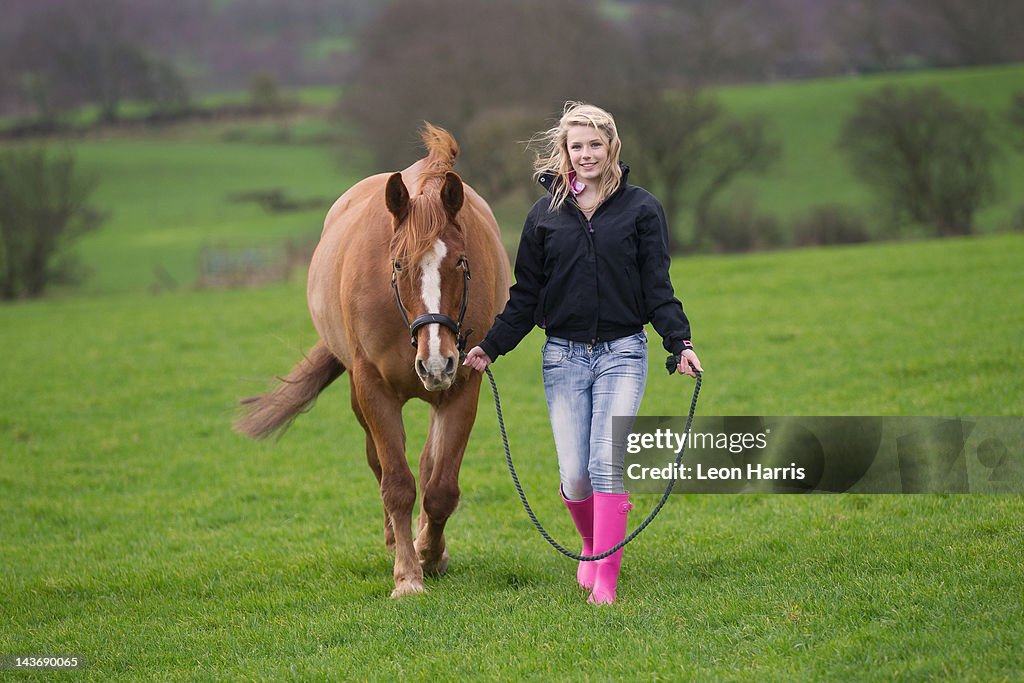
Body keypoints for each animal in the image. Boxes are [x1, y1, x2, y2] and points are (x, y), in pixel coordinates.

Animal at [234, 126, 509, 598]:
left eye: (461, 261)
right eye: (397, 264)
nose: (436, 363)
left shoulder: (462, 387)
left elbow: (440, 488)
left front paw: (430, 554)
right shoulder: (372, 388)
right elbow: (395, 484)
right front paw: (407, 576)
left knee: (427, 466)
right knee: (381, 466)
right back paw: (395, 541)